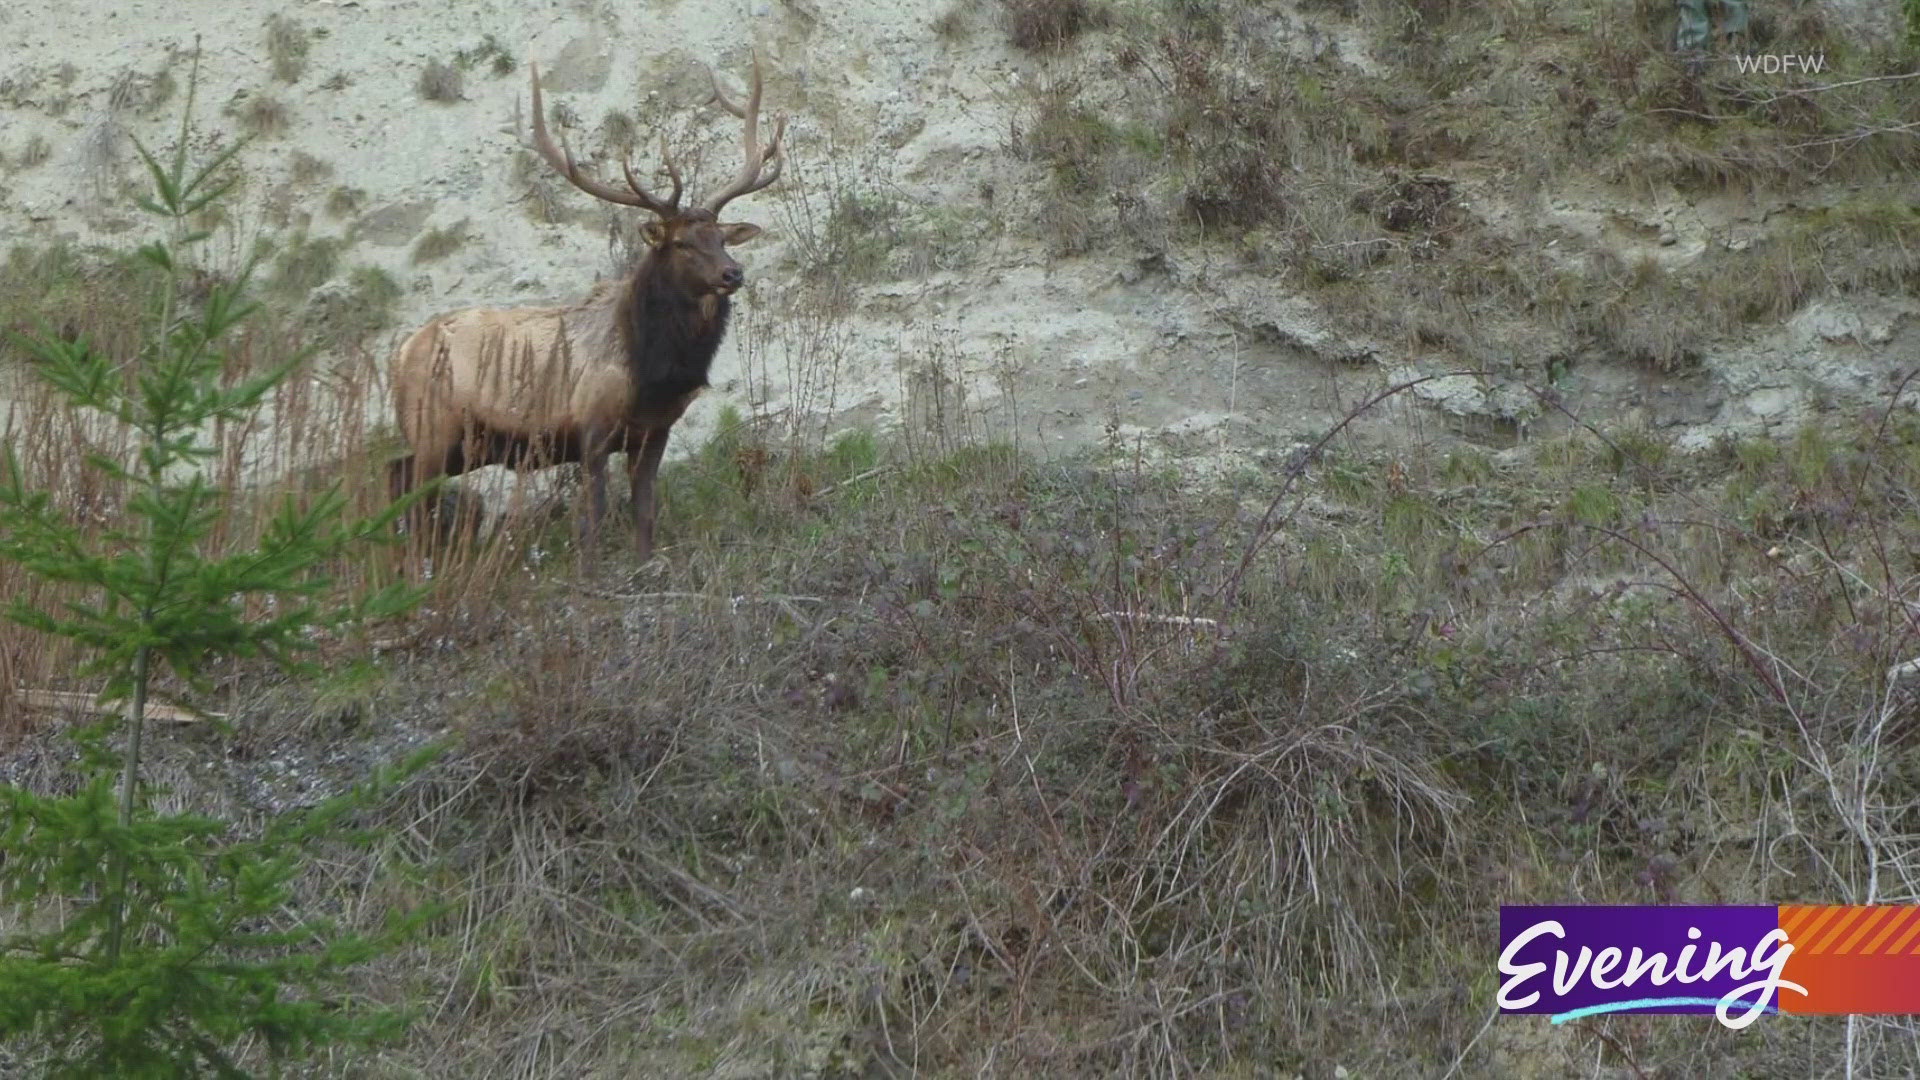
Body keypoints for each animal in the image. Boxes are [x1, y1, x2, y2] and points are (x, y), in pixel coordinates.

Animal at [389, 51, 787, 557]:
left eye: (721, 237)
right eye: (680, 243)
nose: (733, 273)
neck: (655, 373)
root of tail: (400, 353)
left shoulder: (654, 432)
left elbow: (645, 514)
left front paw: (643, 563)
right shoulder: (591, 431)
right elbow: (592, 522)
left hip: (460, 445)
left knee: (394, 474)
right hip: (434, 428)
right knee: (411, 495)